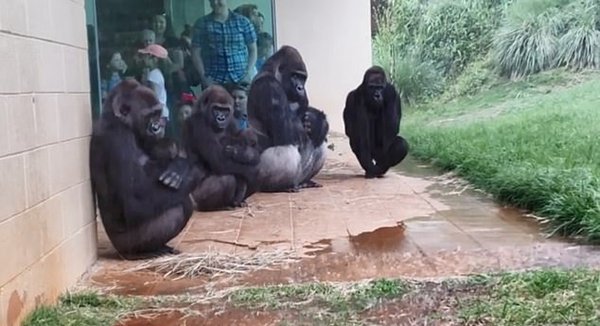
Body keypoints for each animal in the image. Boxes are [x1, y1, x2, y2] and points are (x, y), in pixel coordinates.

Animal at [246, 45, 330, 194]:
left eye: (303, 78)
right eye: (294, 76)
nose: (300, 87)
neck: (272, 73)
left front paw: (319, 122)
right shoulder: (269, 87)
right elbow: (289, 131)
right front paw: (317, 120)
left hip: (299, 176)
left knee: (320, 142)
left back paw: (305, 182)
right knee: (287, 149)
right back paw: (279, 186)